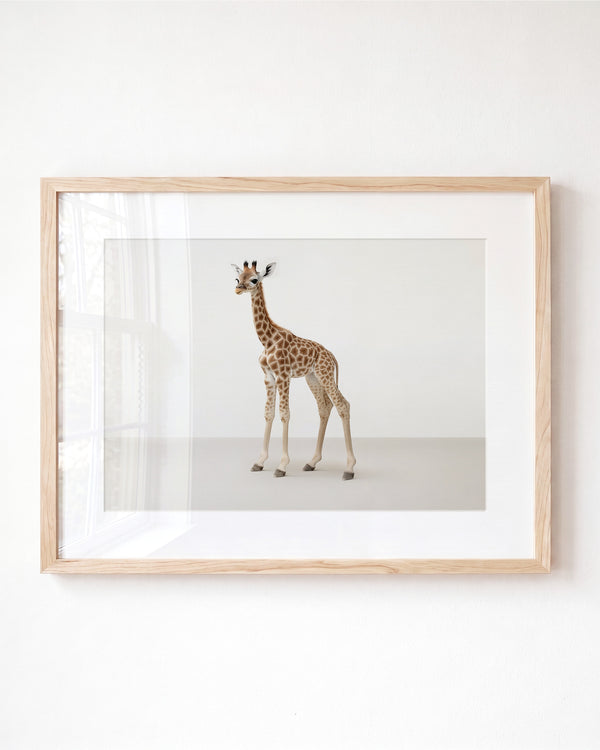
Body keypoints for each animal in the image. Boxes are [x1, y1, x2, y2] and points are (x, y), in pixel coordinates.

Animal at [231, 260, 356, 480]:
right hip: (313, 378)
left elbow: (285, 413)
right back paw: (312, 462)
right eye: (238, 278)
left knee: (342, 404)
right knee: (325, 407)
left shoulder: (283, 375)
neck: (267, 340)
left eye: (254, 279)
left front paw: (282, 466)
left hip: (325, 374)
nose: (238, 289)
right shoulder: (268, 377)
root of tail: (331, 355)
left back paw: (349, 469)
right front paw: (259, 462)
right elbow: (268, 413)